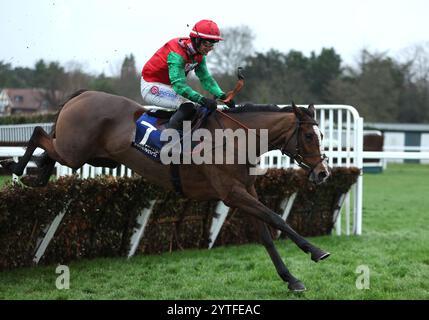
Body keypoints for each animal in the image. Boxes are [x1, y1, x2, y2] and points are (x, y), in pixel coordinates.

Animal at [0, 90, 332, 292]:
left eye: (321, 134)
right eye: (308, 135)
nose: (323, 173)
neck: (237, 137)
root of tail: (81, 94)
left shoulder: (245, 190)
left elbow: (266, 236)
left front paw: (291, 279)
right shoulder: (232, 192)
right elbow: (277, 219)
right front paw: (316, 251)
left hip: (91, 156)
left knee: (48, 150)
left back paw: (36, 175)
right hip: (74, 152)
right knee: (38, 133)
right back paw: (17, 166)